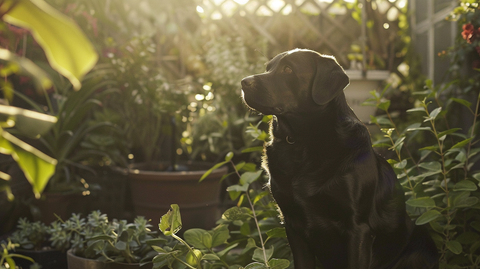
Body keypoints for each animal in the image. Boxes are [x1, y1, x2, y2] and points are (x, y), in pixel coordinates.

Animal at [242, 48, 436, 268]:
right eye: (268, 68)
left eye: (288, 69)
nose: (243, 82)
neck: (303, 143)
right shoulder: (292, 225)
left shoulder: (357, 228)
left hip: (422, 245)